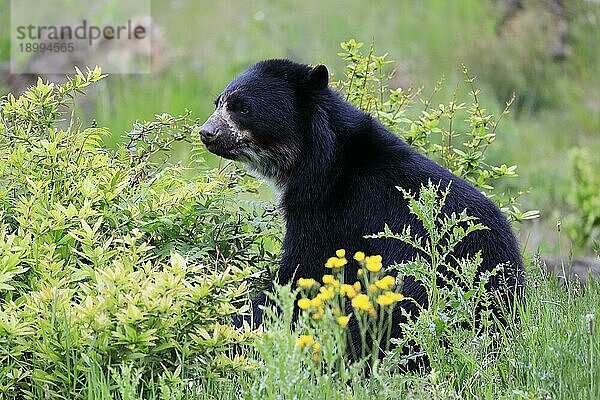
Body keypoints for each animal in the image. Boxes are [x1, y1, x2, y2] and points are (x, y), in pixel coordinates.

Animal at [199, 58, 524, 366]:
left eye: (243, 108)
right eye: (218, 103)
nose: (206, 133)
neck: (315, 160)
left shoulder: (329, 213)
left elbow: (301, 274)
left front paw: (237, 322)